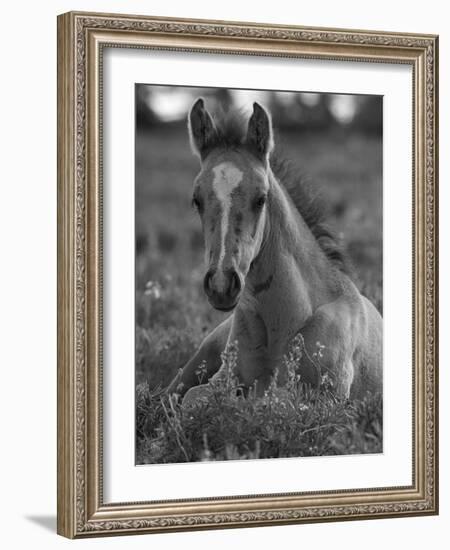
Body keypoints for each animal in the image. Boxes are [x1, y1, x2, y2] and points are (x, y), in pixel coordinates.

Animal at [167, 98, 382, 402]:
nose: (221, 285)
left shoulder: (326, 396)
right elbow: (192, 400)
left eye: (261, 198)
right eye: (196, 200)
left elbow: (263, 400)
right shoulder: (221, 380)